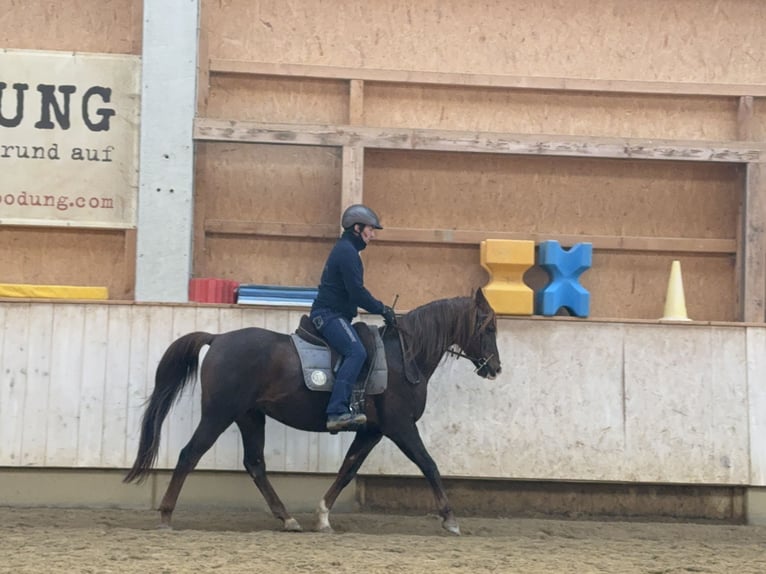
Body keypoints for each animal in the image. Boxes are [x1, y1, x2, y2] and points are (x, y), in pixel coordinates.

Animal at [124, 290, 504, 536]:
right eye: (488, 328)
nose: (495, 368)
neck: (403, 357)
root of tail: (217, 339)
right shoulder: (400, 427)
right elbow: (428, 464)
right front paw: (450, 518)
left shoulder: (372, 430)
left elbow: (348, 469)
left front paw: (322, 517)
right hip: (219, 413)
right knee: (190, 454)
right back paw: (166, 515)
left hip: (249, 415)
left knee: (255, 463)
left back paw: (287, 519)